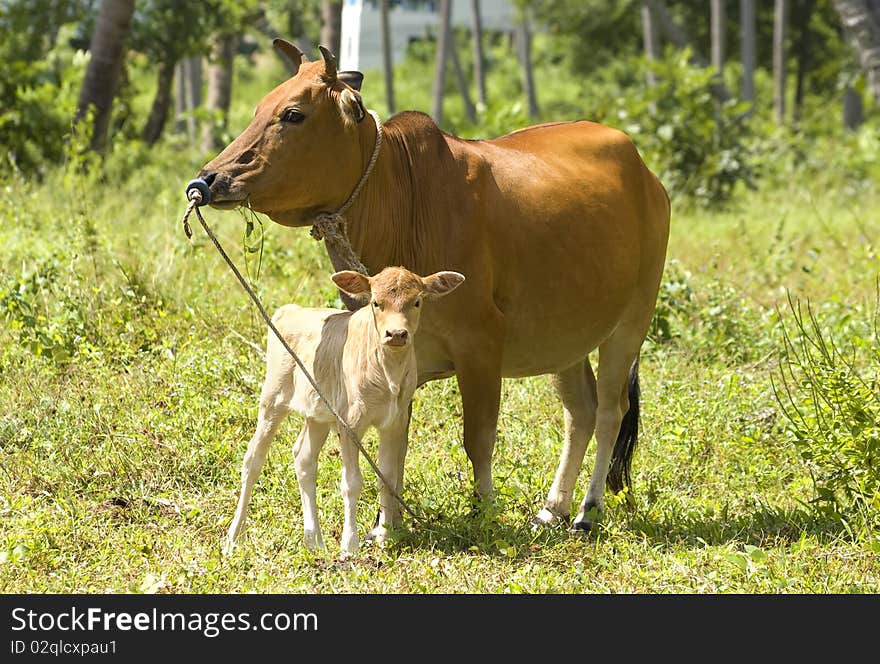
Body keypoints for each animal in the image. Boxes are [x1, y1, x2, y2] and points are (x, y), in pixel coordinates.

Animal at [223, 266, 464, 556]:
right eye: (375, 302)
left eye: (416, 302)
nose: (396, 334)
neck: (388, 373)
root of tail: (290, 310)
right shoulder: (350, 424)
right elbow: (352, 483)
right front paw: (350, 545)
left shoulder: (394, 422)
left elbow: (387, 477)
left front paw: (384, 536)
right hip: (272, 399)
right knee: (253, 460)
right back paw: (233, 537)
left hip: (318, 412)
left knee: (304, 458)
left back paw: (314, 540)